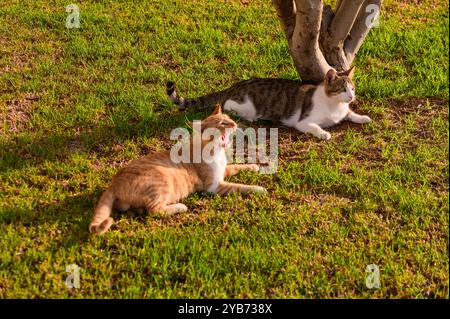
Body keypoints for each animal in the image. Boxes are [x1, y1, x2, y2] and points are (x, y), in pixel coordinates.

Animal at [90, 105, 268, 235]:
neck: (217, 151)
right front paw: (260, 189)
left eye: (229, 119)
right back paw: (180, 207)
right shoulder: (215, 186)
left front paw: (254, 166)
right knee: (154, 211)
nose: (235, 124)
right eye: (222, 124)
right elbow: (242, 187)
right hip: (161, 184)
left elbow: (237, 166)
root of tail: (114, 182)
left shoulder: (224, 171)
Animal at [167, 67, 370, 140]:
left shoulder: (344, 111)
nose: (351, 97)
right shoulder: (303, 121)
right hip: (246, 104)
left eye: (352, 89)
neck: (335, 106)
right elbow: (315, 127)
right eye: (342, 89)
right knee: (227, 105)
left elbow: (350, 114)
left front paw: (362, 117)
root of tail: (234, 86)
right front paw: (324, 133)